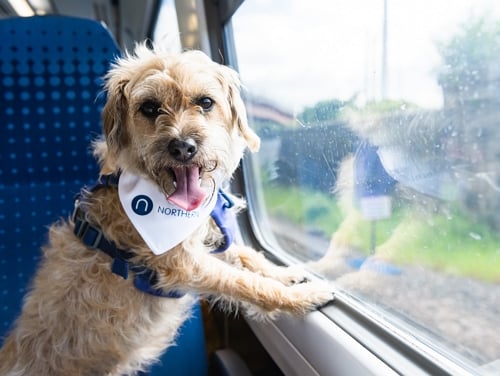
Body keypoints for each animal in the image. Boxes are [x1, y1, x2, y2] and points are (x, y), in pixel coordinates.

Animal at [0, 46, 336, 376]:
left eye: (205, 102)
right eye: (149, 107)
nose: (183, 147)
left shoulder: (204, 239)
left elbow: (246, 255)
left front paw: (287, 273)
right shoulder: (184, 265)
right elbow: (243, 282)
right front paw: (302, 297)